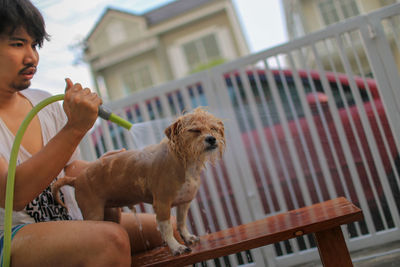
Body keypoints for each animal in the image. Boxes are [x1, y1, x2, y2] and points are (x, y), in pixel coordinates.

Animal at [51, 108, 225, 256]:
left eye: (214, 129)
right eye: (194, 130)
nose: (211, 139)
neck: (184, 162)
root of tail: (76, 179)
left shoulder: (184, 202)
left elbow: (181, 222)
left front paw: (188, 237)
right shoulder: (162, 204)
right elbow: (167, 228)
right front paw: (176, 247)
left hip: (111, 214)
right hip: (94, 214)